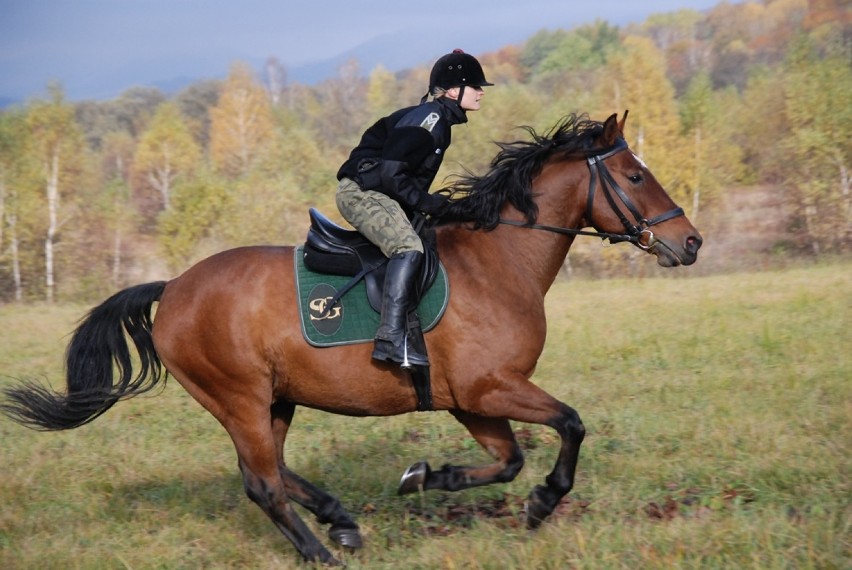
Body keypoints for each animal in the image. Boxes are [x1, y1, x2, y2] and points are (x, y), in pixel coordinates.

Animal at [3, 112, 704, 564]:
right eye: (635, 177)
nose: (690, 241)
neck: (501, 258)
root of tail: (172, 287)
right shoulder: (491, 387)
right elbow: (570, 425)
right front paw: (542, 504)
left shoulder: (472, 400)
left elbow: (507, 460)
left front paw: (425, 477)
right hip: (239, 398)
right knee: (262, 482)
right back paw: (322, 552)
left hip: (273, 400)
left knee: (271, 470)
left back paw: (339, 521)